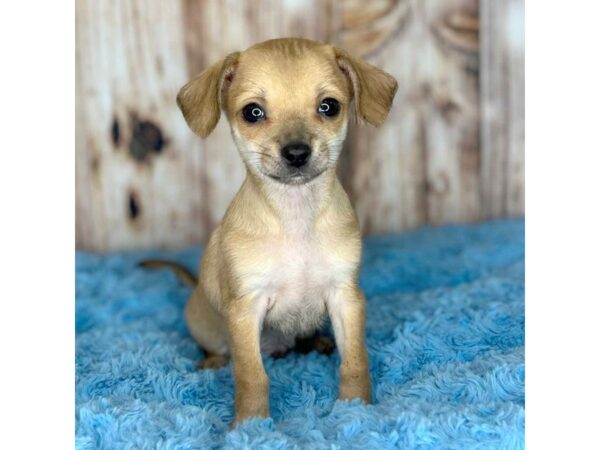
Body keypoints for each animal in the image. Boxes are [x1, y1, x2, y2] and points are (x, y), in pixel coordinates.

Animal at [170, 37, 398, 424]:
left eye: (328, 106)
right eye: (253, 112)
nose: (296, 152)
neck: (295, 218)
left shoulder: (345, 299)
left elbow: (355, 361)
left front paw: (355, 408)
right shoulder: (246, 310)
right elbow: (251, 376)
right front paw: (251, 425)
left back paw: (318, 342)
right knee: (221, 351)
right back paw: (212, 362)